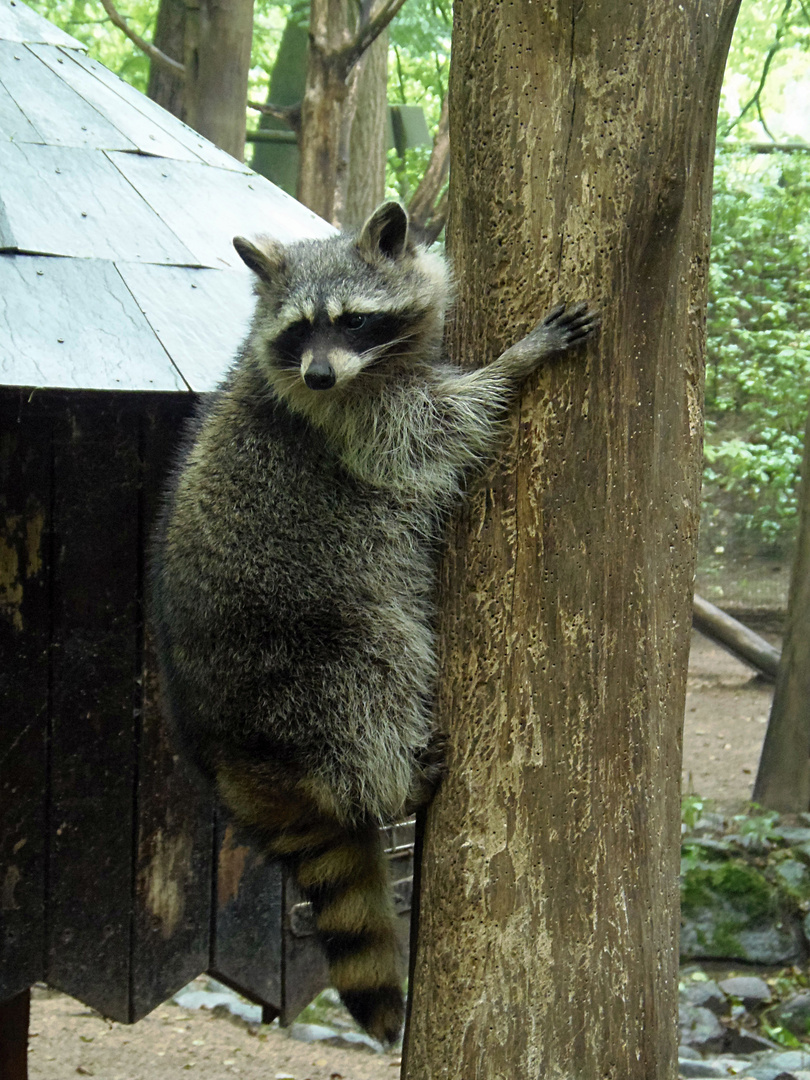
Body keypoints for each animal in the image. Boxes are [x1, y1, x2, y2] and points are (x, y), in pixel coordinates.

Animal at [149, 200, 600, 1045]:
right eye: (300, 332)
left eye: (353, 321)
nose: (321, 373)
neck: (363, 370)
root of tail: (228, 757)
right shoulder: (350, 422)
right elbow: (436, 432)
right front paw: (514, 364)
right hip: (308, 659)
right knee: (374, 680)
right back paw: (392, 784)